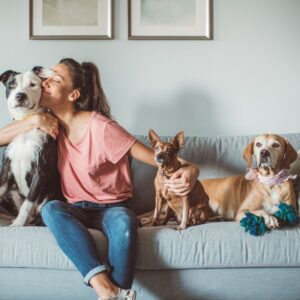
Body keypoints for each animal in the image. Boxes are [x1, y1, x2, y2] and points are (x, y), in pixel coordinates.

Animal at [0, 66, 62, 225]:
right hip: (12, 191)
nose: (20, 95)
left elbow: (27, 203)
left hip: (49, 199)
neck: (25, 123)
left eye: (33, 85)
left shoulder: (40, 171)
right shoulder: (6, 167)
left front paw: (18, 224)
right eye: (12, 84)